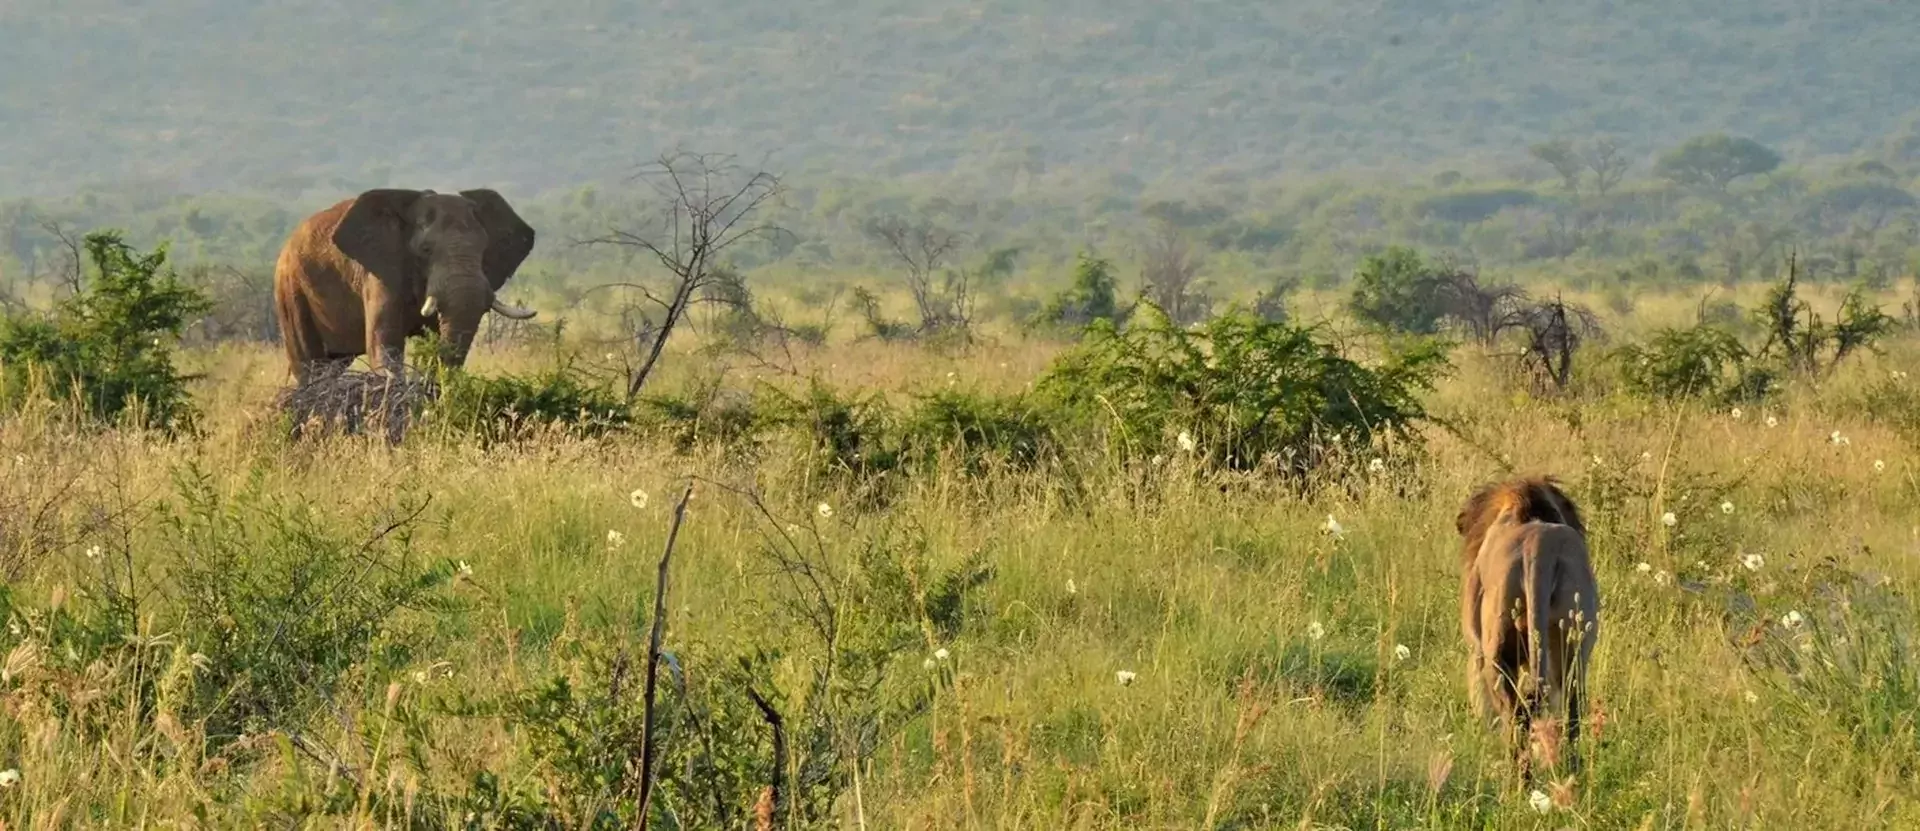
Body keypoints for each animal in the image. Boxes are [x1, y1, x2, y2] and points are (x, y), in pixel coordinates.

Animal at [272, 188, 539, 385]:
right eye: (425, 250)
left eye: (484, 250)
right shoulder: (380, 270)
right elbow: (383, 342)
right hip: (290, 289)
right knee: (309, 361)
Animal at [1455, 475, 1600, 781]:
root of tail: (1539, 545)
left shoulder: (1476, 648)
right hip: (1574, 648)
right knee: (1572, 709)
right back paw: (1571, 770)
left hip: (1497, 652)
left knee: (1516, 715)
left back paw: (1518, 779)